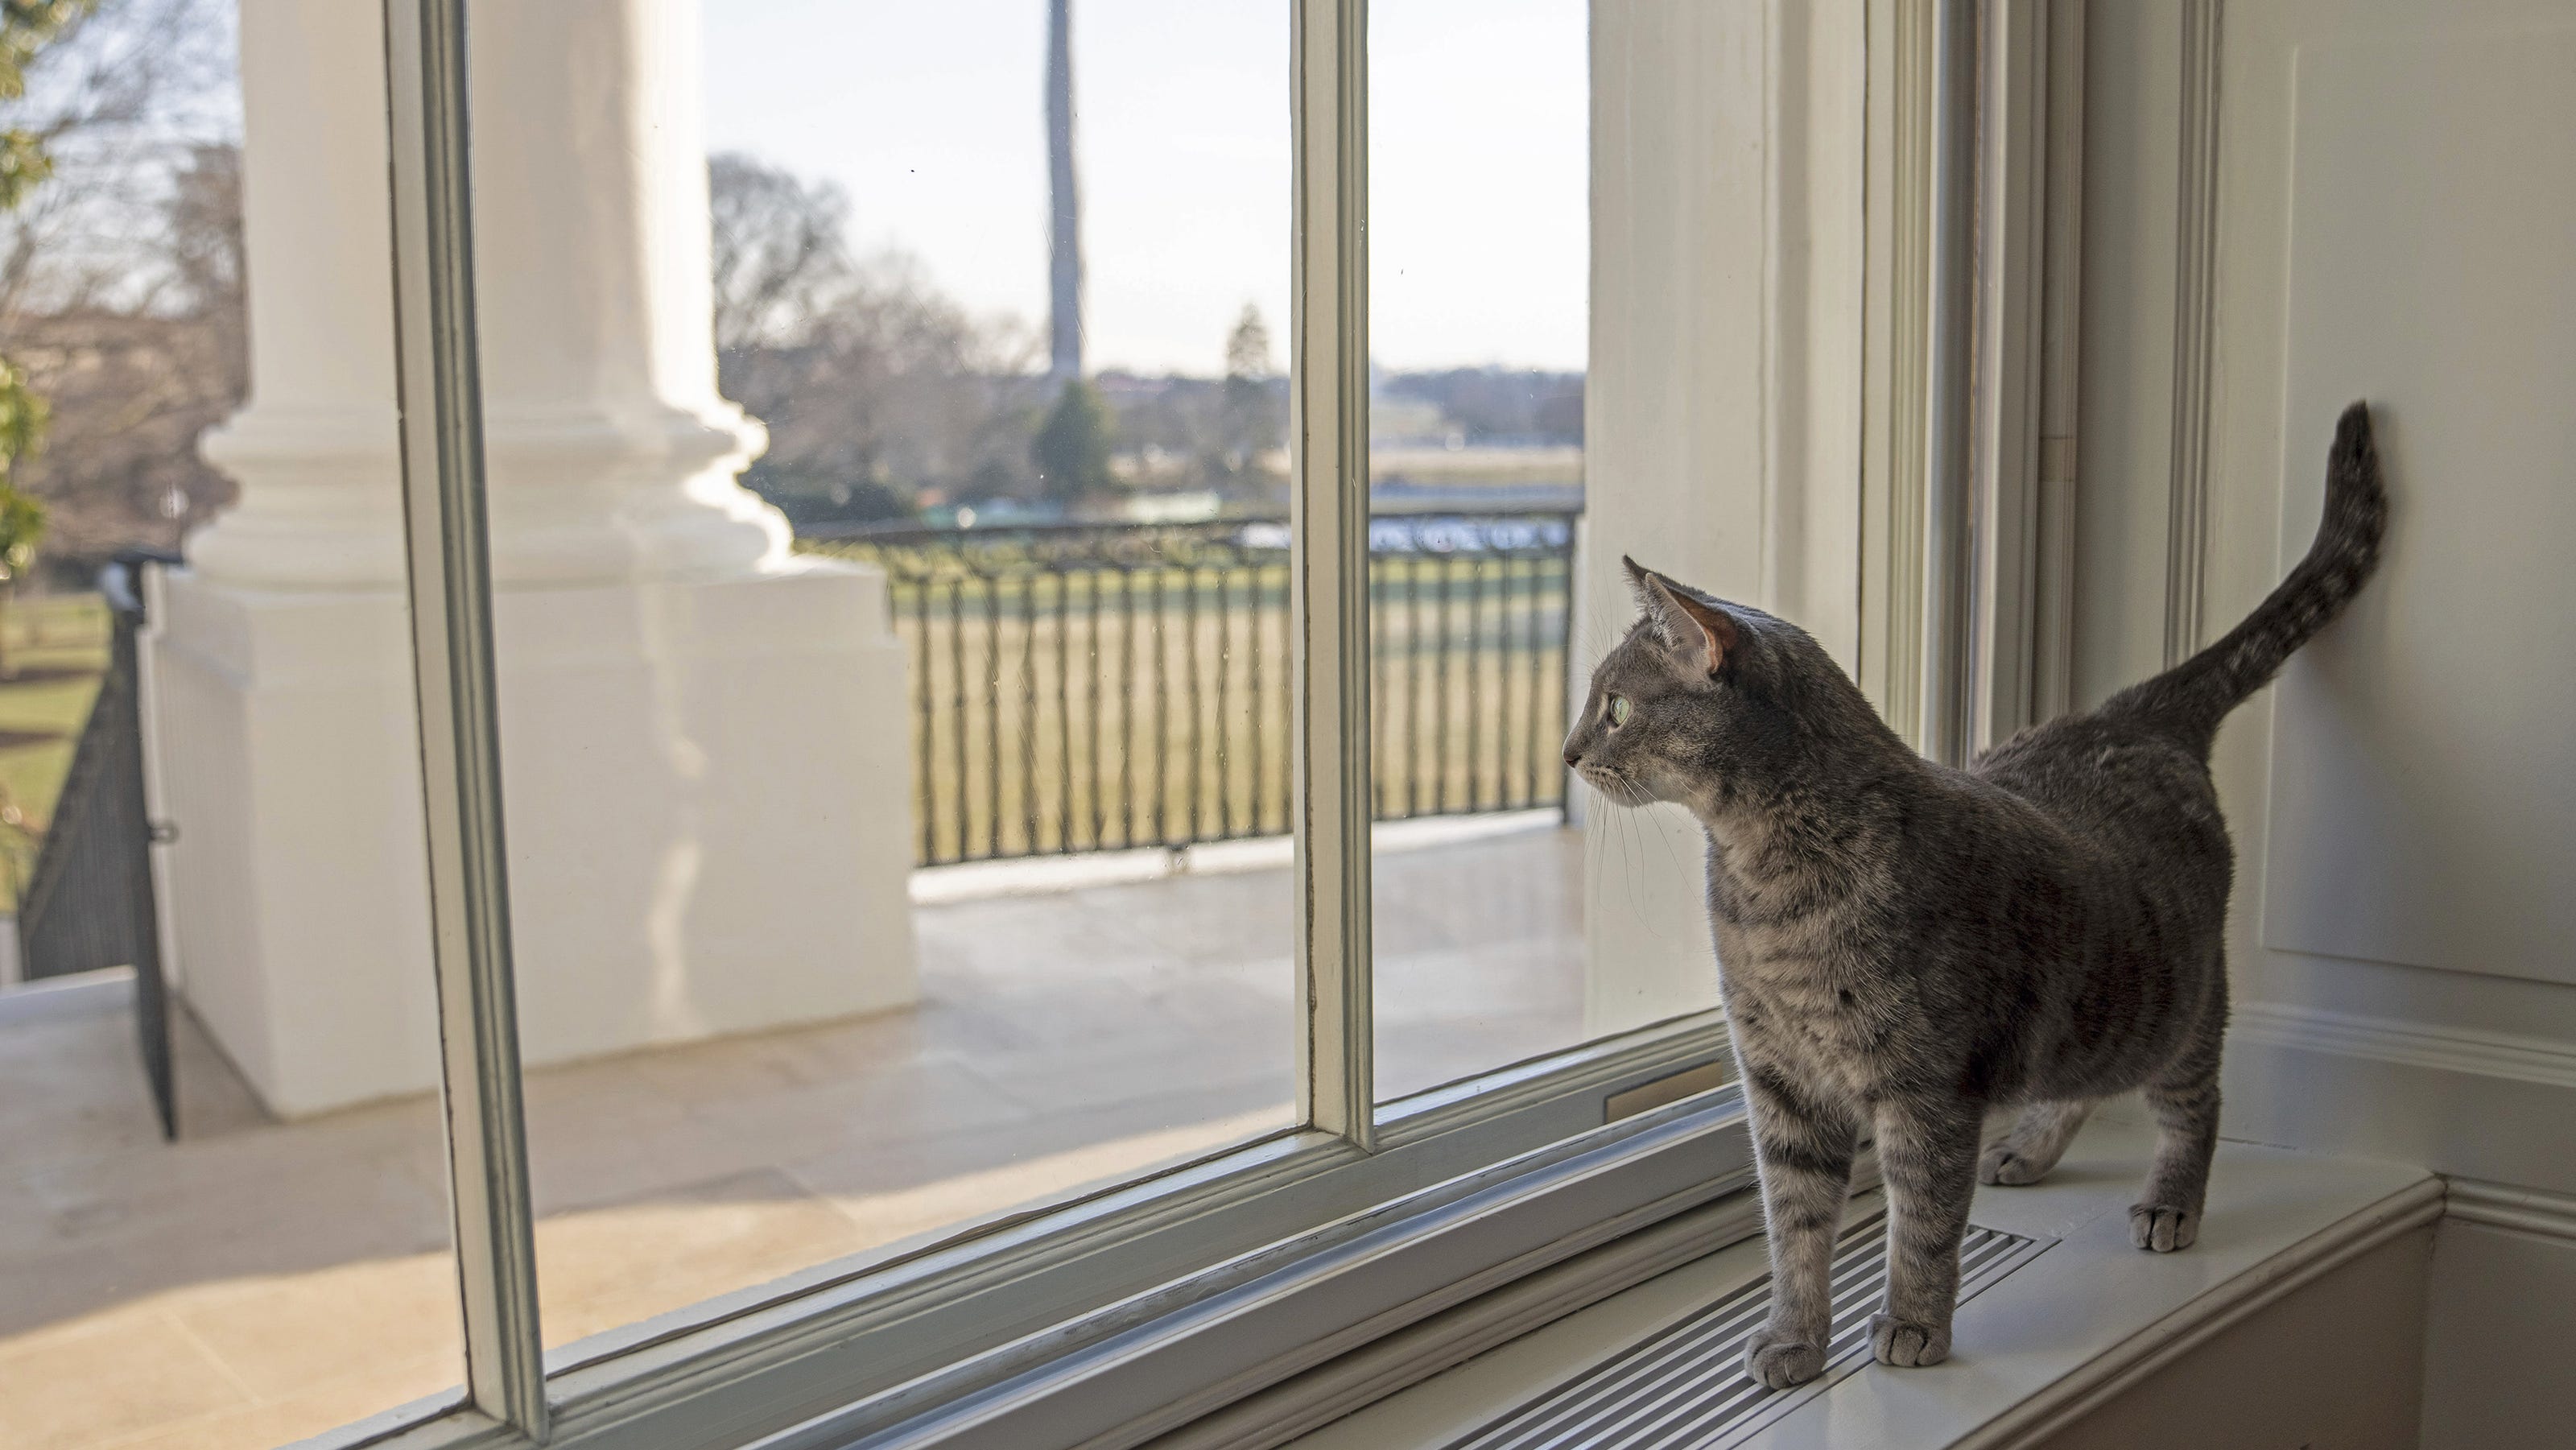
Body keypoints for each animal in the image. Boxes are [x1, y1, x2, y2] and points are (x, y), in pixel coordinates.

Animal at [1566, 407, 2390, 1380]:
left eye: (1615, 707)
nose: (1568, 753)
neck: (1760, 880)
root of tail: (2131, 712)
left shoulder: (1927, 1086)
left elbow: (1920, 1224)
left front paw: (1911, 1324)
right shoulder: (1780, 1080)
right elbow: (1794, 1226)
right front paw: (1794, 1335)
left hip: (2176, 1008)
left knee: (2197, 1102)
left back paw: (2171, 1200)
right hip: (2096, 1024)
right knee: (2078, 1085)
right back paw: (2029, 1149)